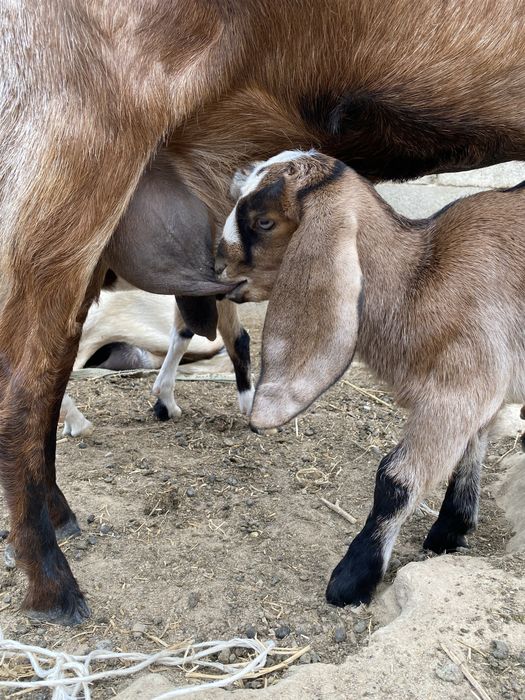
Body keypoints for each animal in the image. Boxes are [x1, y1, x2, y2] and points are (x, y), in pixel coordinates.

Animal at [216, 150, 525, 607]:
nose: (218, 268)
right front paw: (450, 531)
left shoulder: (462, 384)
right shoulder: (476, 388)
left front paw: (352, 578)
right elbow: (469, 452)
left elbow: (394, 478)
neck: (419, 279)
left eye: (264, 221)